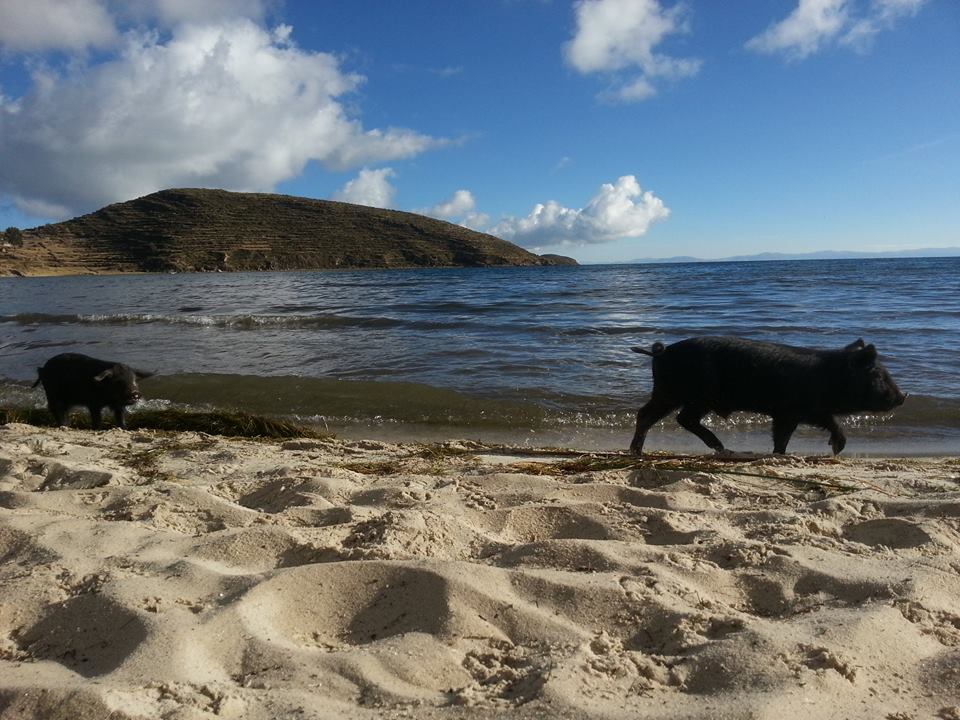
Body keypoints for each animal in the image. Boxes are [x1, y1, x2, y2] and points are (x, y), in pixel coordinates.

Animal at [632, 338, 908, 456]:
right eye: (877, 375)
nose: (903, 396)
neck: (828, 377)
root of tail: (661, 351)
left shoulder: (798, 413)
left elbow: (792, 433)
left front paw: (783, 453)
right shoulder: (792, 410)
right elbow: (793, 432)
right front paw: (835, 450)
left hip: (673, 395)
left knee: (655, 415)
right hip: (687, 395)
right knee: (673, 418)